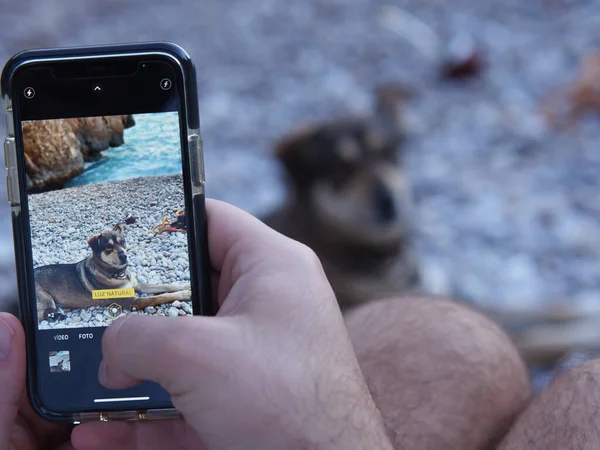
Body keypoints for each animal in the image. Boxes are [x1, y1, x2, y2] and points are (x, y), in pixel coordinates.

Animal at [35, 222, 190, 322]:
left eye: (122, 242)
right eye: (108, 247)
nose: (124, 256)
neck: (116, 274)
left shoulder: (138, 286)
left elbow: (167, 286)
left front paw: (186, 286)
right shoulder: (133, 301)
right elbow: (160, 297)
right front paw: (185, 294)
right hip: (47, 301)